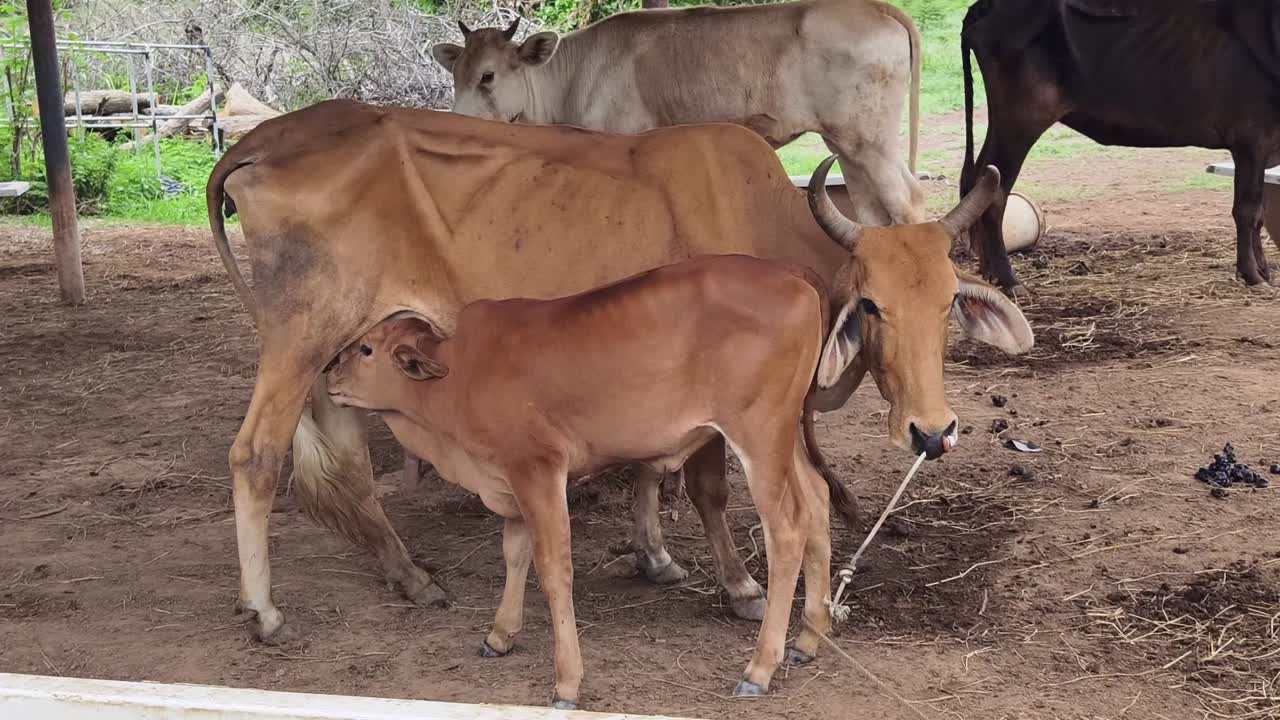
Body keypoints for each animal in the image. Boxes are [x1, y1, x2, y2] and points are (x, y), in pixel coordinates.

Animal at [206, 100, 1030, 647]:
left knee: (342, 466)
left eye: (949, 303)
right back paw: (264, 609)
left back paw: (409, 577)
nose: (932, 430)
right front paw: (738, 585)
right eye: (872, 305)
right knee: (256, 456)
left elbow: (650, 466)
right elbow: (705, 485)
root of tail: (263, 138)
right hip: (300, 336)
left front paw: (654, 555)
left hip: (343, 354)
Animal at [322, 255, 857, 708]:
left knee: (787, 528)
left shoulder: (537, 468)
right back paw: (808, 638)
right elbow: (514, 553)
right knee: (816, 500)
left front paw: (566, 682)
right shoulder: (510, 481)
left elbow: (553, 570)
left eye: (365, 349)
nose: (328, 379)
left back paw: (759, 668)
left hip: (759, 436)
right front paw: (500, 635)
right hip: (785, 438)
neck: (456, 381)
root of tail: (790, 274)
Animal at [431, 0, 925, 227]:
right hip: (847, 143)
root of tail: (872, 7)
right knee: (871, 213)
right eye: (456, 73)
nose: (454, 120)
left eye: (489, 76)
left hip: (871, 142)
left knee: (908, 204)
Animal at [960, 0, 1280, 295]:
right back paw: (1010, 281)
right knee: (996, 194)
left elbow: (1259, 213)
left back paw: (989, 273)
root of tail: (985, 8)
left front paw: (1263, 270)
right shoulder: (1251, 139)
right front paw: (1253, 275)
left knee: (979, 179)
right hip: (1022, 121)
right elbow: (1248, 211)